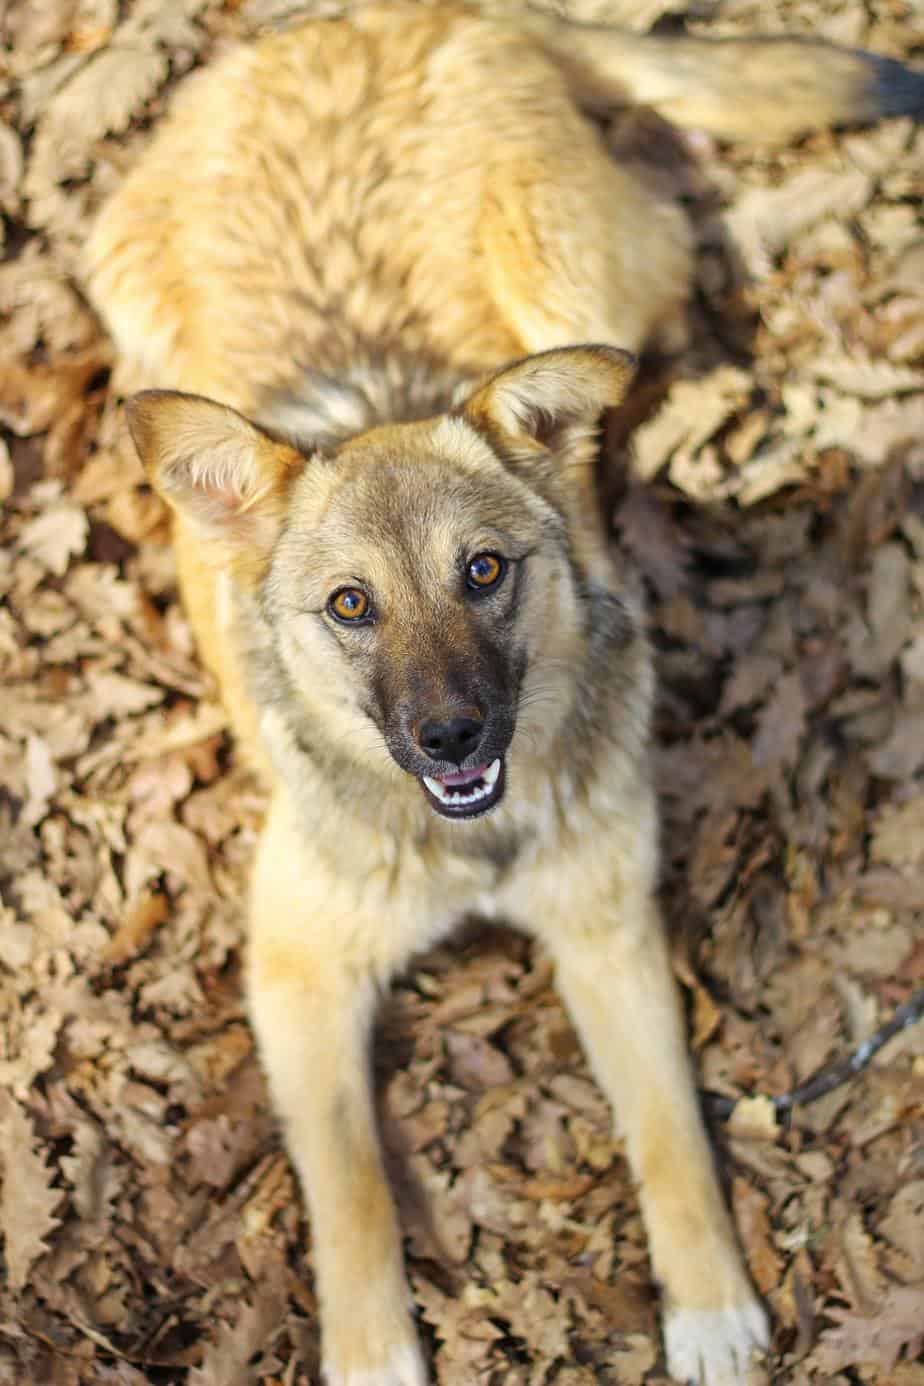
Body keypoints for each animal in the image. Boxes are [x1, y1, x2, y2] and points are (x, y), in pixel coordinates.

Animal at [88, 5, 924, 1380]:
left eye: (482, 572)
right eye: (351, 607)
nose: (452, 736)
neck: (468, 848)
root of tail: (391, 20)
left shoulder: (610, 934)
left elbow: (672, 1133)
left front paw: (708, 1305)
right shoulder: (298, 978)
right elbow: (351, 1188)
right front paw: (374, 1350)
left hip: (580, 281)